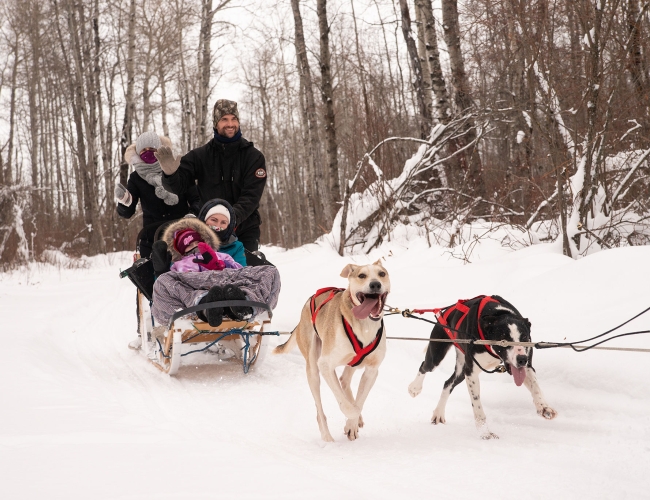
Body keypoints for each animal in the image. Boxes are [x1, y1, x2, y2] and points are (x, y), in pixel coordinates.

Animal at [274, 262, 390, 442]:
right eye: (362, 275)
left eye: (382, 273)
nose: (375, 284)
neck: (364, 326)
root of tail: (309, 300)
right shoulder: (325, 365)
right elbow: (348, 405)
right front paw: (352, 419)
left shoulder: (372, 370)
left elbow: (360, 400)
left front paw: (352, 424)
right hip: (313, 370)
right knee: (320, 409)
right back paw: (327, 437)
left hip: (352, 365)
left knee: (345, 381)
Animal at [408, 294, 556, 440]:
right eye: (504, 339)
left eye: (524, 337)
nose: (522, 359)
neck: (499, 314)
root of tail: (444, 311)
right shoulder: (471, 373)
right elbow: (477, 406)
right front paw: (485, 432)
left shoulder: (527, 367)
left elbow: (536, 387)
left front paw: (544, 407)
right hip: (437, 355)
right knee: (424, 366)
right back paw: (414, 387)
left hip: (461, 371)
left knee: (447, 383)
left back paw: (438, 413)